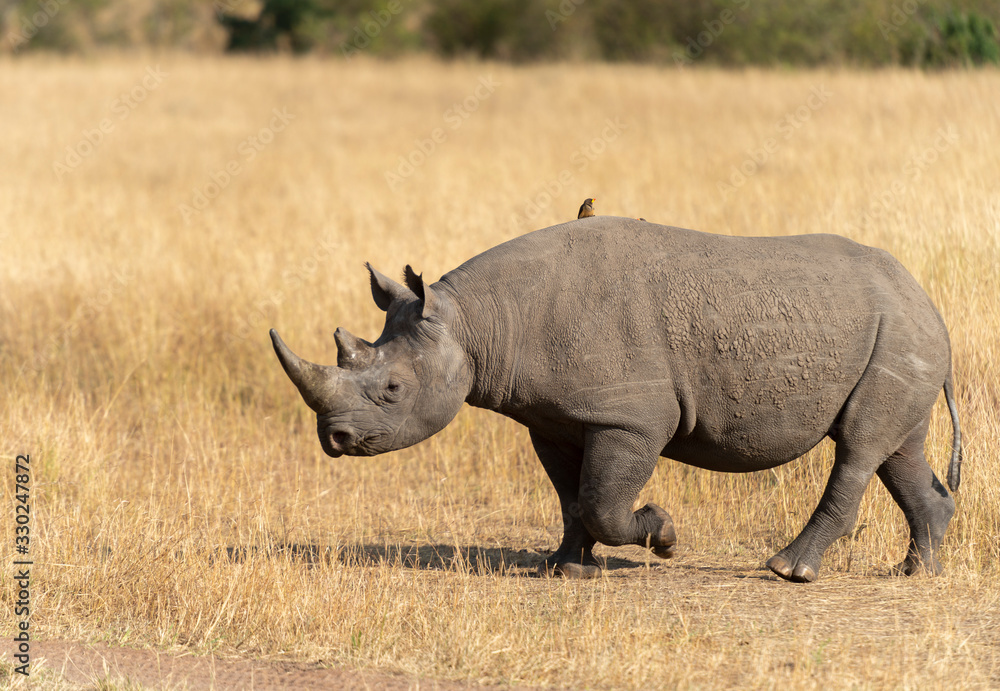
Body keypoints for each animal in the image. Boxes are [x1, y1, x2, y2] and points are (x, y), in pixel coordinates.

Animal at [270, 217, 962, 582]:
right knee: (896, 449)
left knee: (859, 448)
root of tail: (927, 298)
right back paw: (918, 571)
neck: (474, 322)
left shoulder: (628, 418)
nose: (334, 439)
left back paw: (787, 571)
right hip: (900, 334)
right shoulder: (552, 417)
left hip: (899, 332)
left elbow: (604, 500)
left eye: (391, 391)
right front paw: (563, 567)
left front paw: (664, 534)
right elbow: (571, 495)